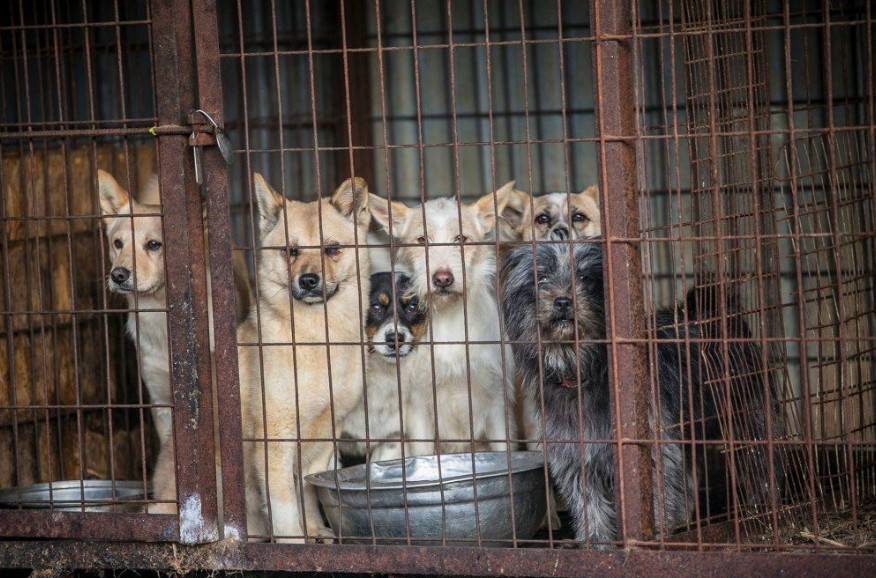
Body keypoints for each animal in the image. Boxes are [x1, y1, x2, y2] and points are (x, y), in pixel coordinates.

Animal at [238, 171, 372, 540]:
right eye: (291, 251)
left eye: (332, 249)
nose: (308, 280)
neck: (315, 341)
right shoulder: (275, 443)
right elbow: (285, 509)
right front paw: (296, 542)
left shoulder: (325, 436)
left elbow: (309, 491)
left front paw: (314, 530)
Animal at [370, 182, 520, 456]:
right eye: (422, 240)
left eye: (461, 239)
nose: (442, 279)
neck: (449, 319)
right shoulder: (418, 406)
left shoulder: (496, 402)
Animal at [500, 240, 780, 544]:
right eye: (541, 279)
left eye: (585, 278)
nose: (563, 301)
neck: (585, 371)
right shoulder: (575, 456)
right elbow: (589, 504)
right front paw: (596, 541)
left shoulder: (654, 448)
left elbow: (657, 491)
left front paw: (653, 534)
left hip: (749, 418)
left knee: (759, 462)